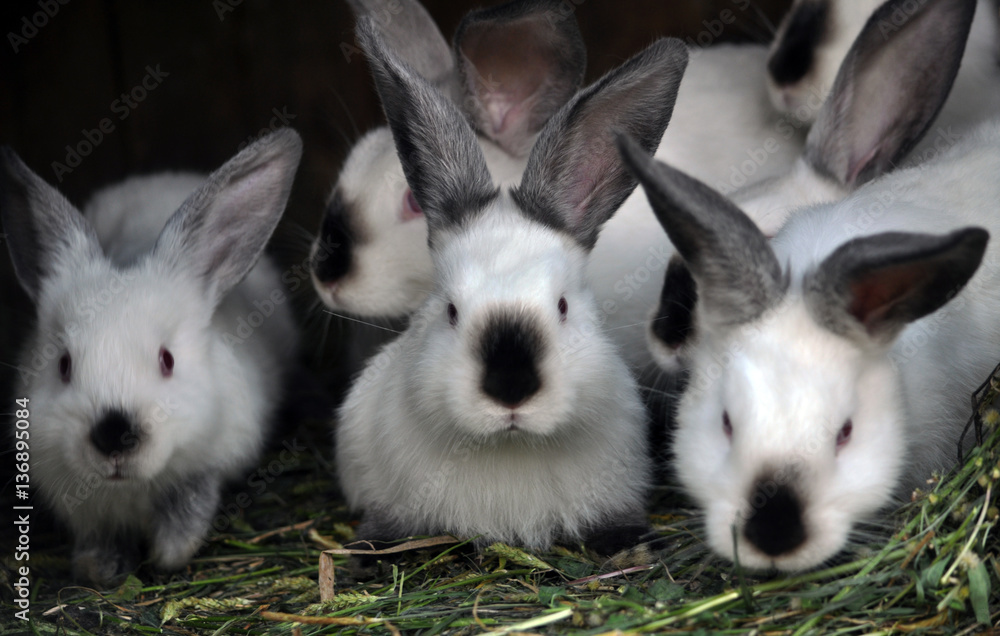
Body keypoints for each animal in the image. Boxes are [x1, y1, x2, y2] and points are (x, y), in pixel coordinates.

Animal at [0, 129, 302, 586]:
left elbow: (190, 508)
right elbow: (98, 535)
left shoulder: (211, 460)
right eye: (64, 365)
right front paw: (98, 568)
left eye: (168, 360)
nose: (114, 435)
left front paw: (168, 555)